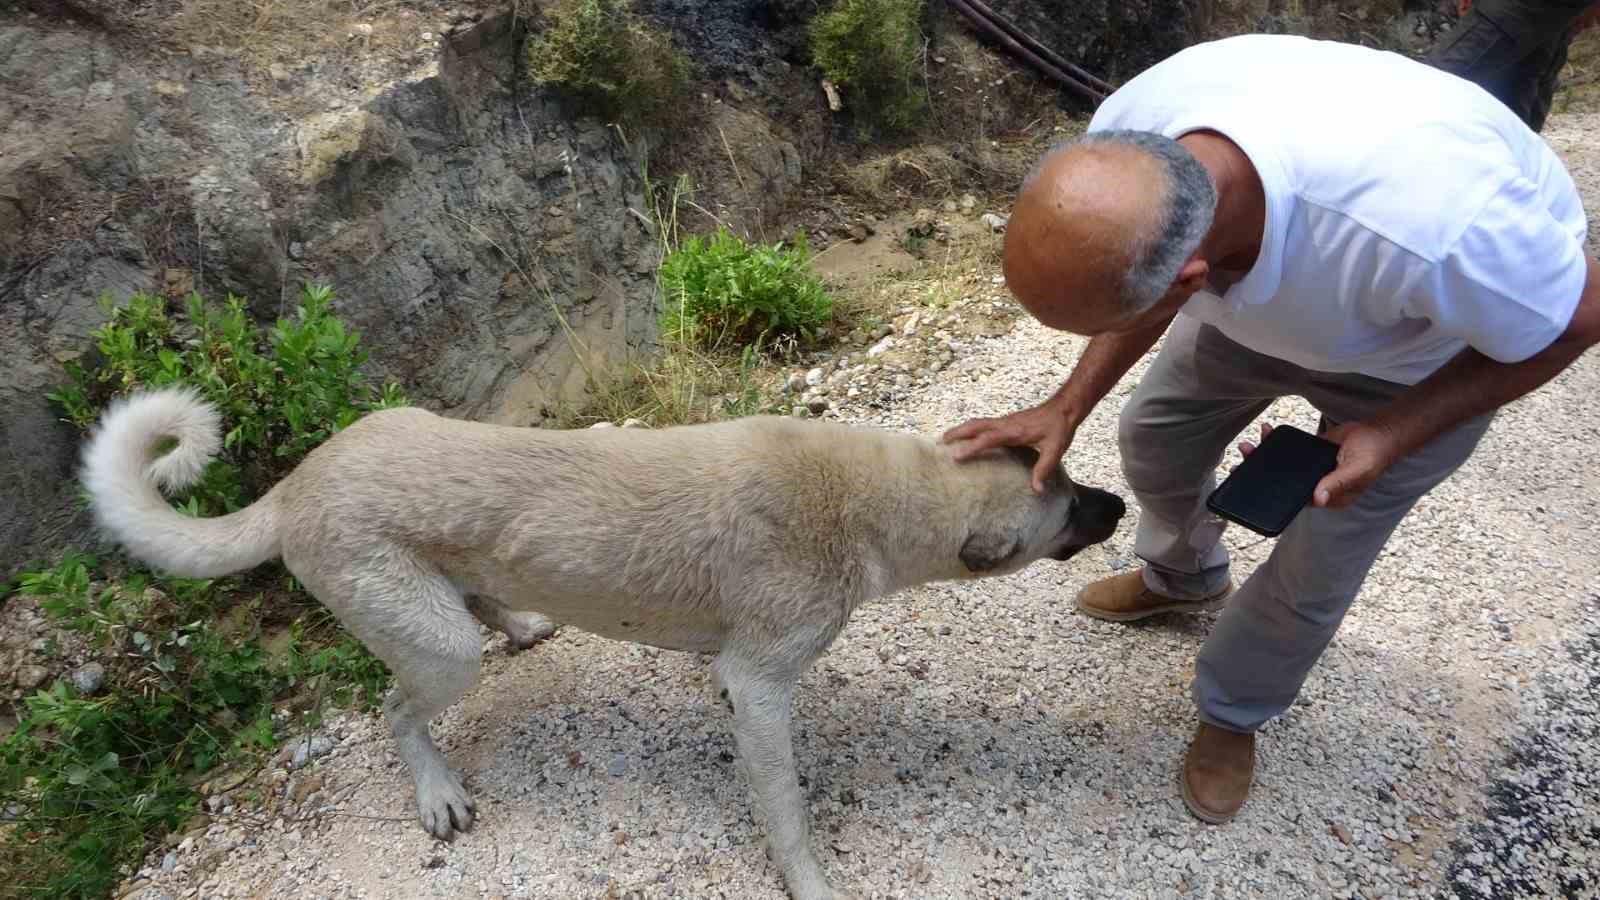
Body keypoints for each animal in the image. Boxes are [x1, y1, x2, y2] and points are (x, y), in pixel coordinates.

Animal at [78, 387, 1126, 896]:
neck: (875, 494)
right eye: (1073, 505)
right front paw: (810, 881)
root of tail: (297, 483)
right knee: (395, 708)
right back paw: (436, 789)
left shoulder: (741, 675)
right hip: (434, 649)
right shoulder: (763, 685)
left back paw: (524, 622)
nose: (1119, 503)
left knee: (479, 607)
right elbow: (785, 810)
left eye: (1073, 478)